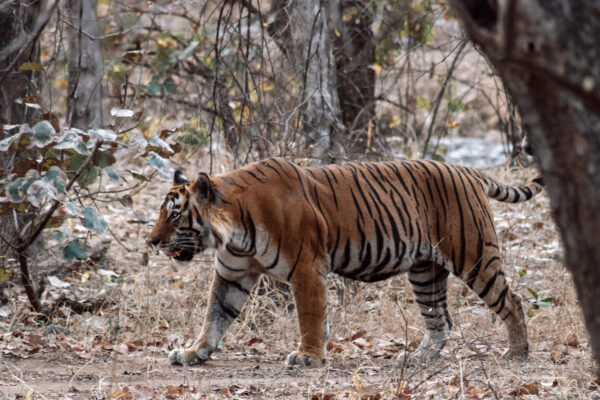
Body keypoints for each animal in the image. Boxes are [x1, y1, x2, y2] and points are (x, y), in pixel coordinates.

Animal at [146, 156, 544, 366]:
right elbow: (214, 316)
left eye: (175, 214)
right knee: (440, 319)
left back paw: (516, 352)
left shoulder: (306, 268)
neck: (233, 232)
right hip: (425, 272)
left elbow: (309, 315)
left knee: (512, 300)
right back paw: (418, 358)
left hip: (473, 255)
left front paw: (307, 356)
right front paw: (194, 352)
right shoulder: (233, 273)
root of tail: (467, 170)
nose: (151, 241)